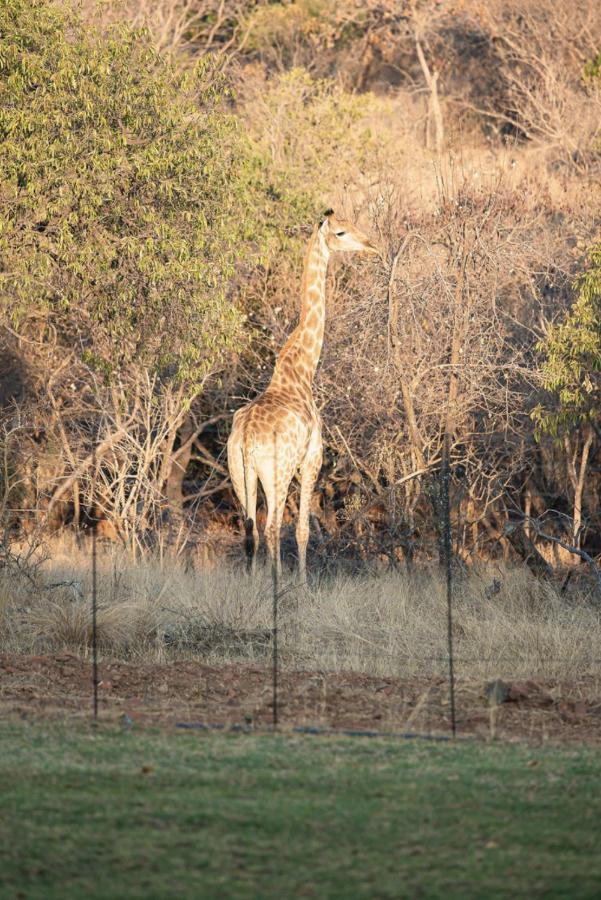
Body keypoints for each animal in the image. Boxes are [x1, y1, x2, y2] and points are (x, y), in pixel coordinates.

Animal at [227, 210, 378, 576]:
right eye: (341, 232)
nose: (370, 245)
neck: (301, 369)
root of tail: (247, 438)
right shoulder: (312, 458)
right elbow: (303, 529)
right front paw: (304, 583)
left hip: (240, 473)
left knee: (250, 529)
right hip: (276, 472)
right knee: (271, 527)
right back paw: (279, 584)